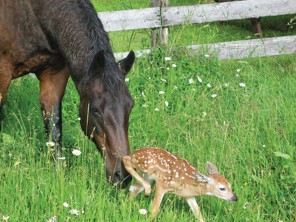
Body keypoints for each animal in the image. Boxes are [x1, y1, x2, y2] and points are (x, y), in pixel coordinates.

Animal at [0, 0, 134, 188]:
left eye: (130, 106)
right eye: (95, 110)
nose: (123, 175)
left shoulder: (55, 74)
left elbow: (54, 131)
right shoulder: (2, 74)